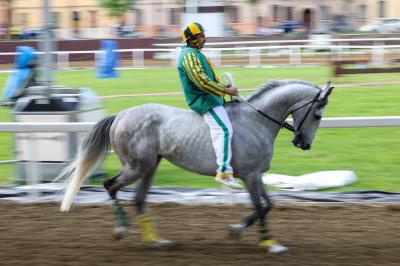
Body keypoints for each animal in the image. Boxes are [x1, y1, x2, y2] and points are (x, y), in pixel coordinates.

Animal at [60, 79, 334, 256]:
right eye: (318, 115)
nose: (303, 143)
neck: (256, 120)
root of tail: (120, 116)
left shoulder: (255, 176)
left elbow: (268, 205)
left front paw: (236, 230)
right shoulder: (250, 175)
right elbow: (261, 206)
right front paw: (271, 244)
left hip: (150, 167)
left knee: (138, 199)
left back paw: (155, 241)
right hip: (136, 167)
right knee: (111, 186)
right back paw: (121, 228)